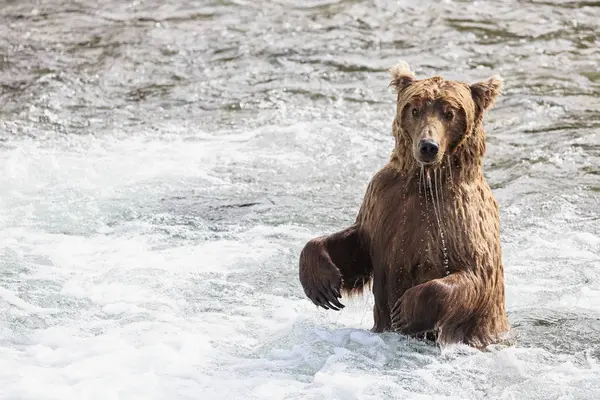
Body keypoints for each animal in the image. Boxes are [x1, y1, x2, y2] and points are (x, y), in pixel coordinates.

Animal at [298, 61, 508, 348]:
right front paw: (322, 285)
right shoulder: (385, 201)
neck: (426, 183)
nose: (428, 146)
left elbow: (474, 273)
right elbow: (357, 244)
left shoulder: (461, 218)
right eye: (415, 109)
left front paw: (405, 311)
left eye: (449, 113)